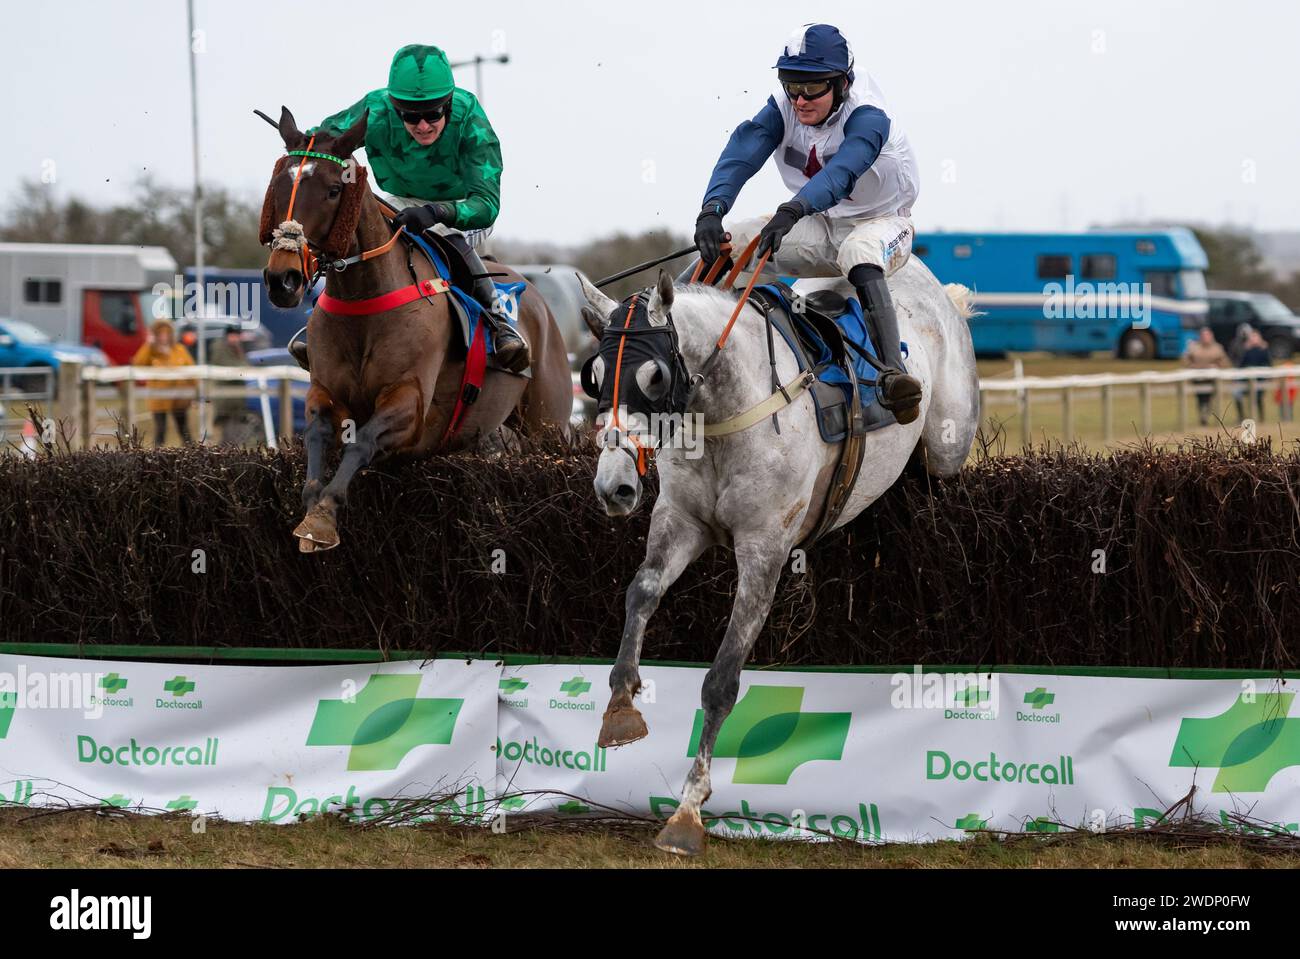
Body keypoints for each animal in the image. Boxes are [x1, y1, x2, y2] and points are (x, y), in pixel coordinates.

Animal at [261, 105, 572, 548]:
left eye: (334, 191)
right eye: (277, 187)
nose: (282, 280)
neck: (365, 300)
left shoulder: (410, 402)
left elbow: (362, 442)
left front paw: (323, 516)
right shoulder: (324, 392)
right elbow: (317, 436)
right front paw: (311, 506)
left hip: (547, 423)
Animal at [579, 257, 977, 857]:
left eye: (654, 377)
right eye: (595, 375)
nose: (614, 487)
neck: (725, 414)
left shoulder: (764, 549)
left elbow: (721, 680)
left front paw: (688, 810)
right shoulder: (680, 521)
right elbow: (640, 592)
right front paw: (621, 706)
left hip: (947, 448)